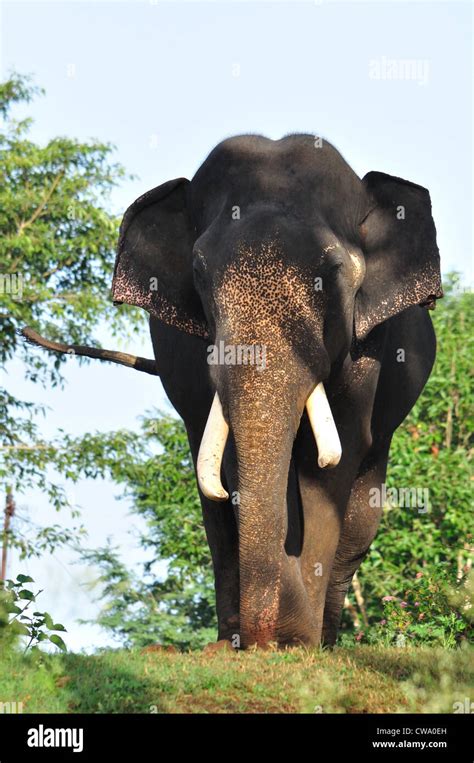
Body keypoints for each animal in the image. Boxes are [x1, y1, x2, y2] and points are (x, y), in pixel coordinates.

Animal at [23, 134, 444, 648]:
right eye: (199, 272)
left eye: (333, 270)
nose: (270, 638)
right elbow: (228, 458)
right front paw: (275, 635)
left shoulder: (369, 342)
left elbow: (332, 458)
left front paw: (301, 641)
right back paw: (232, 637)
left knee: (360, 520)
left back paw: (322, 637)